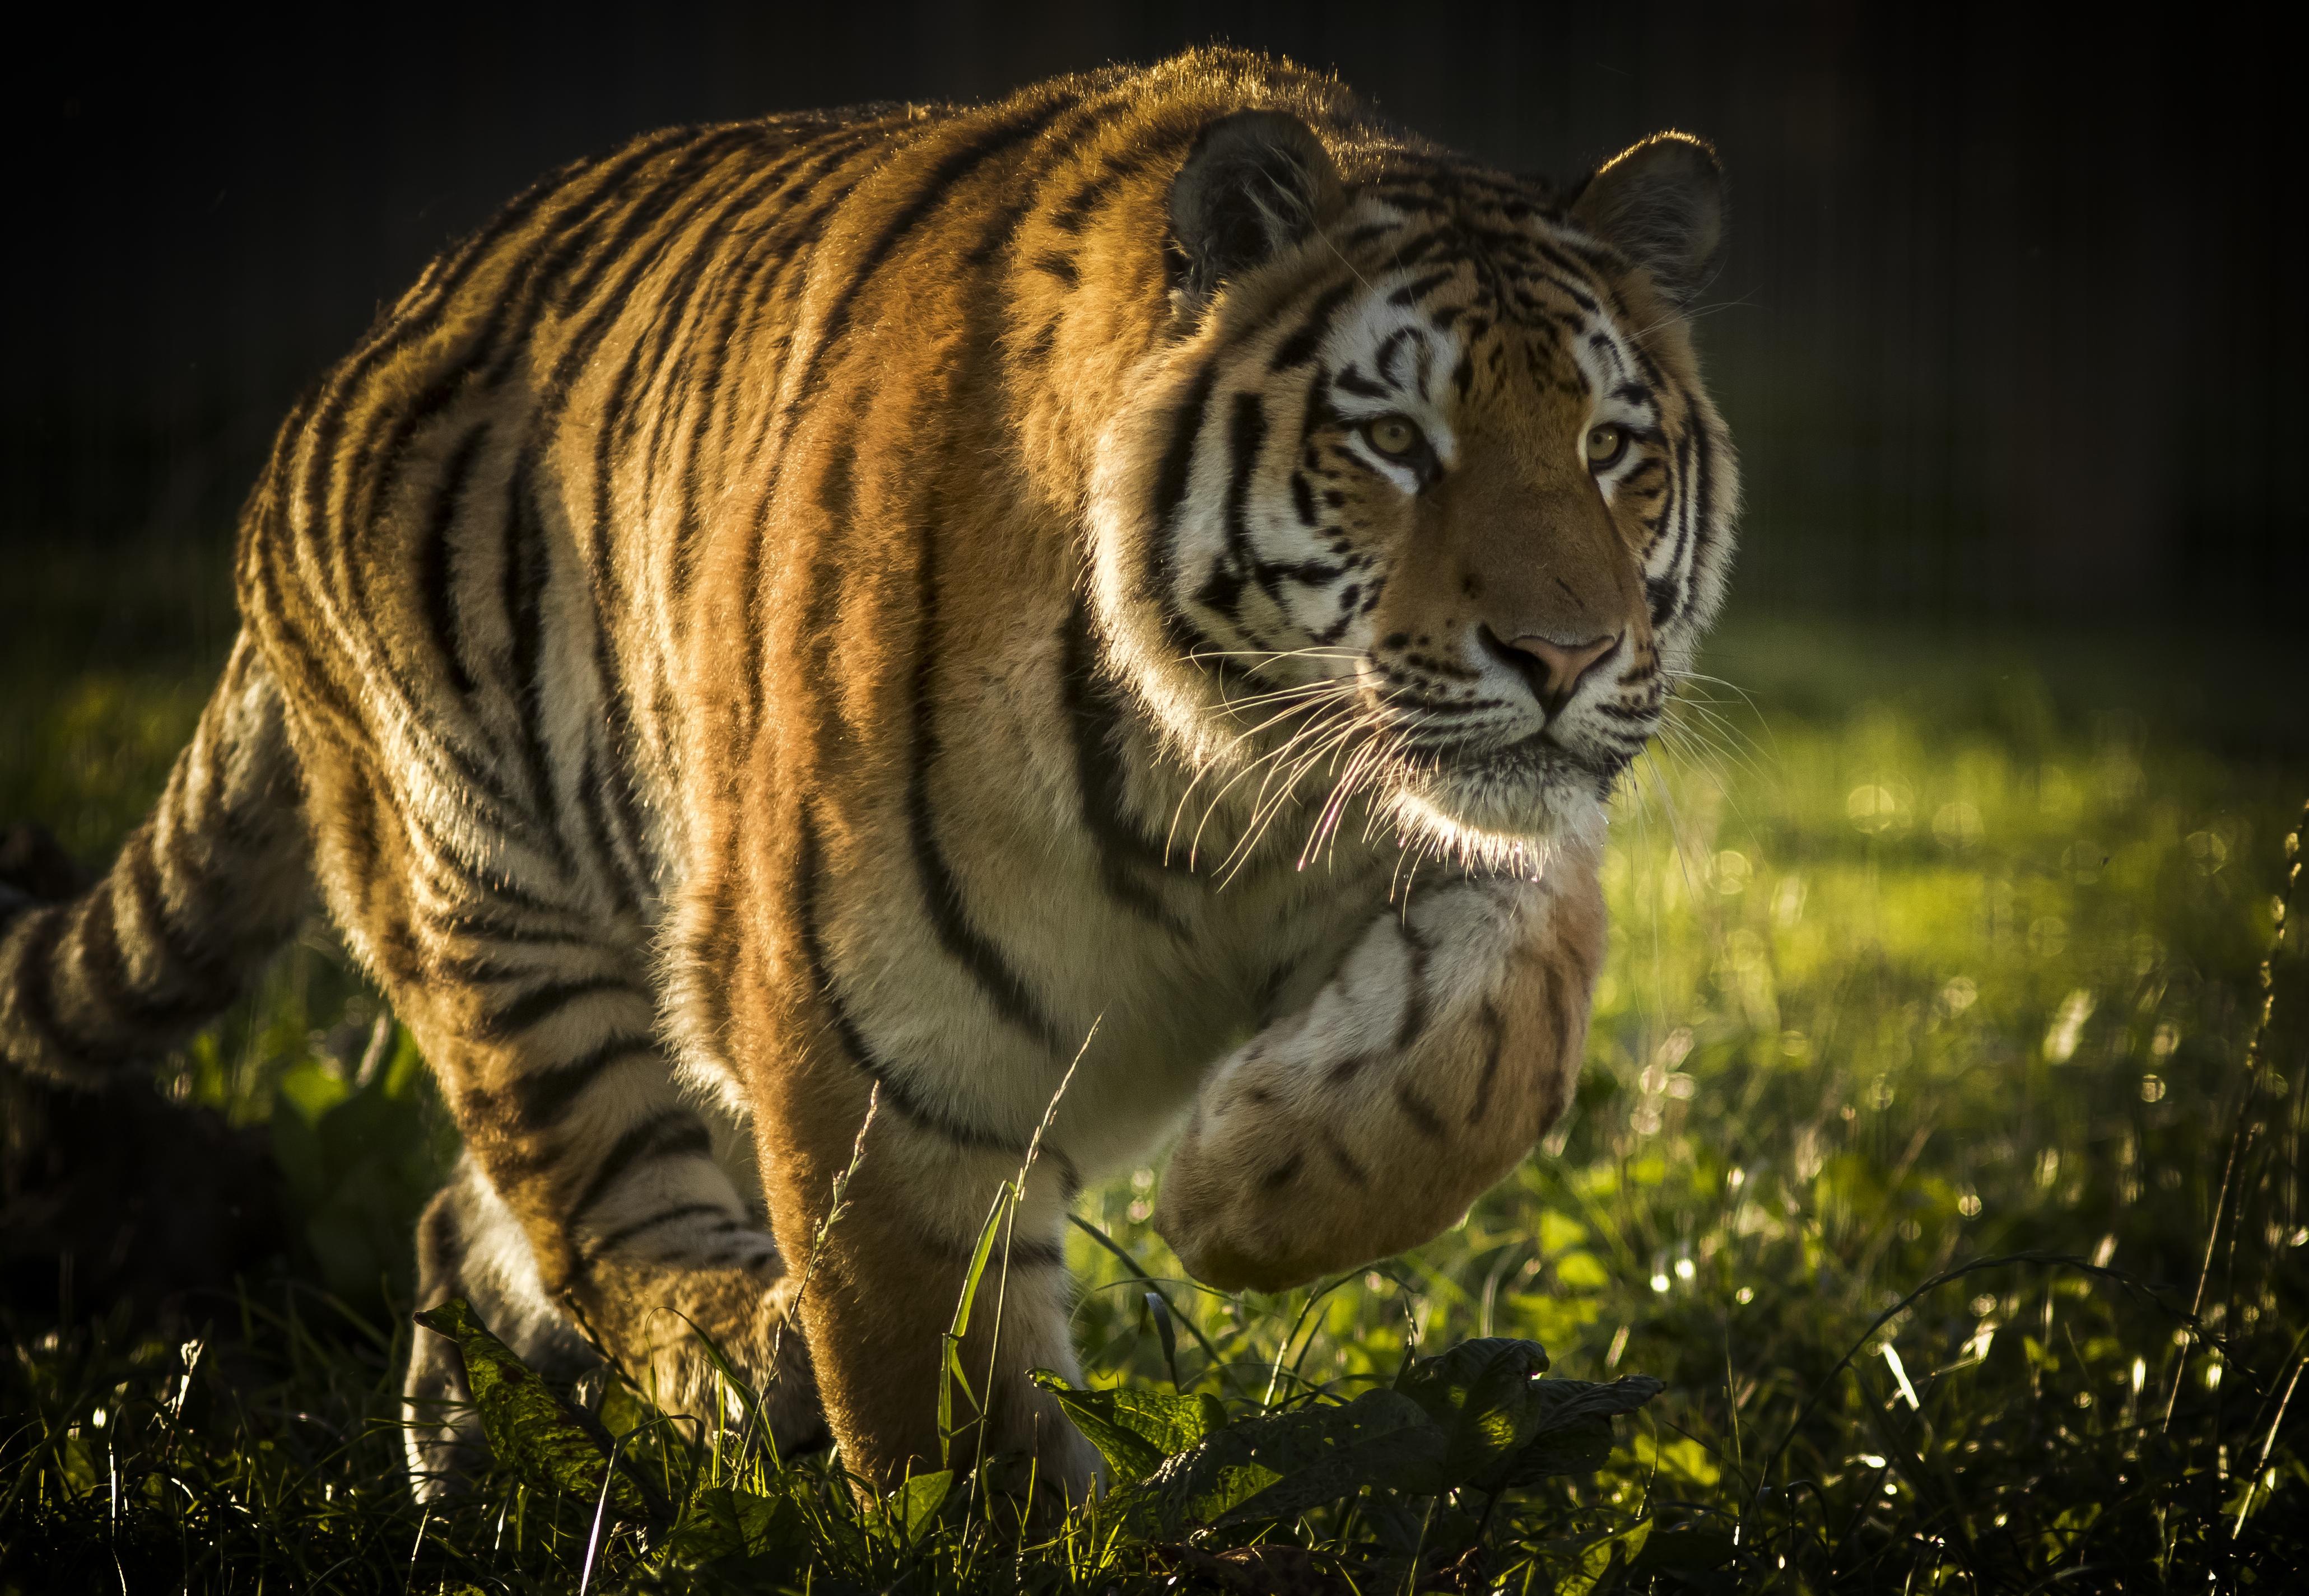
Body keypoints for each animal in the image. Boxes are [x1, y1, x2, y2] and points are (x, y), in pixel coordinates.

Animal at [0, 47, 1735, 1502]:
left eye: (1609, 448)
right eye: (1390, 441)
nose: (1564, 655)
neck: (1221, 785)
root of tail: (337, 376)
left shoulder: (1467, 841)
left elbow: (1496, 1050)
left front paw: (1239, 1191)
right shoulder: (865, 1041)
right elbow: (930, 1373)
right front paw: (996, 1520)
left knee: (464, 1231)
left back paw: (479, 1493)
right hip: (497, 909)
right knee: (592, 1228)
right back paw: (738, 1364)